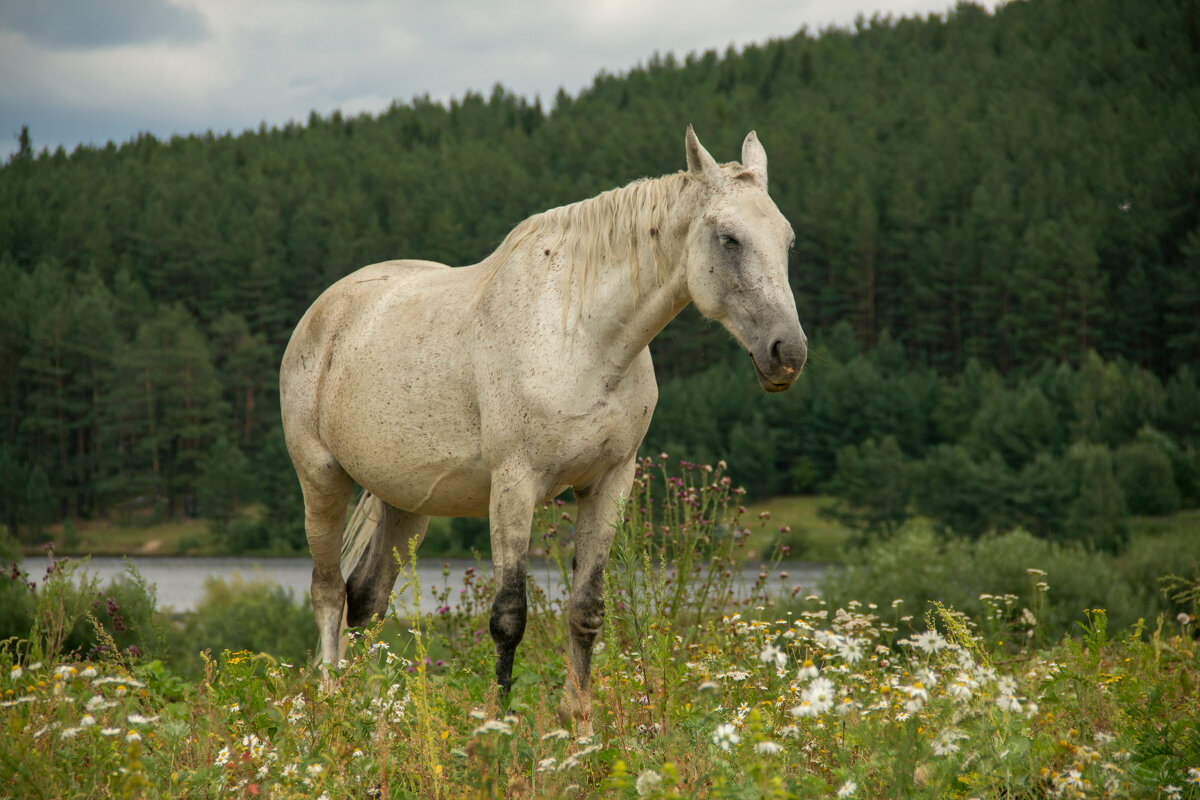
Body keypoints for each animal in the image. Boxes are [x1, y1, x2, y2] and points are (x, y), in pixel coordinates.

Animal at [279, 125, 806, 724]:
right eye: (728, 238)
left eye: (787, 240)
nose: (787, 353)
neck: (582, 336)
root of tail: (328, 310)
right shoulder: (515, 484)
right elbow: (509, 616)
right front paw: (499, 724)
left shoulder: (609, 483)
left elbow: (586, 609)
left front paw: (578, 723)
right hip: (321, 479)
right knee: (328, 593)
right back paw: (330, 707)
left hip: (405, 504)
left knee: (366, 600)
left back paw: (372, 717)